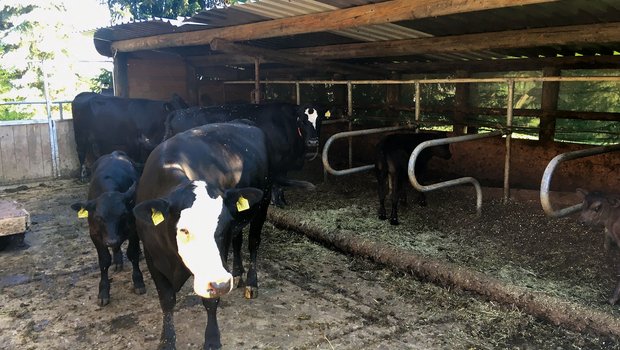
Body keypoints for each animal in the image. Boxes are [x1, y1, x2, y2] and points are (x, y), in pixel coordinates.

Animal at [71, 151, 146, 306]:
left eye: (123, 214)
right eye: (99, 217)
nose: (111, 241)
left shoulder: (133, 230)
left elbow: (132, 254)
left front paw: (138, 281)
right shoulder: (95, 234)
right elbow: (104, 261)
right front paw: (103, 291)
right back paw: (117, 261)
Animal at [133, 121, 272, 348]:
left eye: (221, 226)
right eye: (184, 229)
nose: (222, 283)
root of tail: (245, 122)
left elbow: (210, 300)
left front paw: (213, 339)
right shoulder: (152, 256)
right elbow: (167, 300)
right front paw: (167, 340)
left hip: (263, 204)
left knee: (253, 242)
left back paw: (251, 283)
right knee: (238, 240)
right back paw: (237, 273)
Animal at [163, 101, 330, 206]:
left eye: (320, 120)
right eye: (302, 120)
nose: (313, 142)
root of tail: (177, 113)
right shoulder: (278, 160)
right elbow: (278, 184)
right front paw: (279, 202)